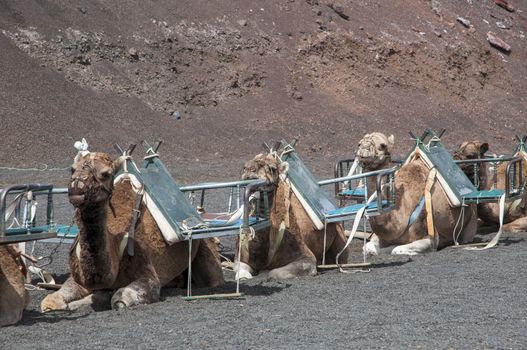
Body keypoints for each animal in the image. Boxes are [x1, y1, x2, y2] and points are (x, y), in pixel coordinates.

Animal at [41, 152, 223, 310]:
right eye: (72, 169)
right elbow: (51, 300)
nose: (76, 187)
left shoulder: (148, 275)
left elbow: (118, 299)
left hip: (204, 248)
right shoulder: (77, 278)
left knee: (212, 278)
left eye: (106, 173)